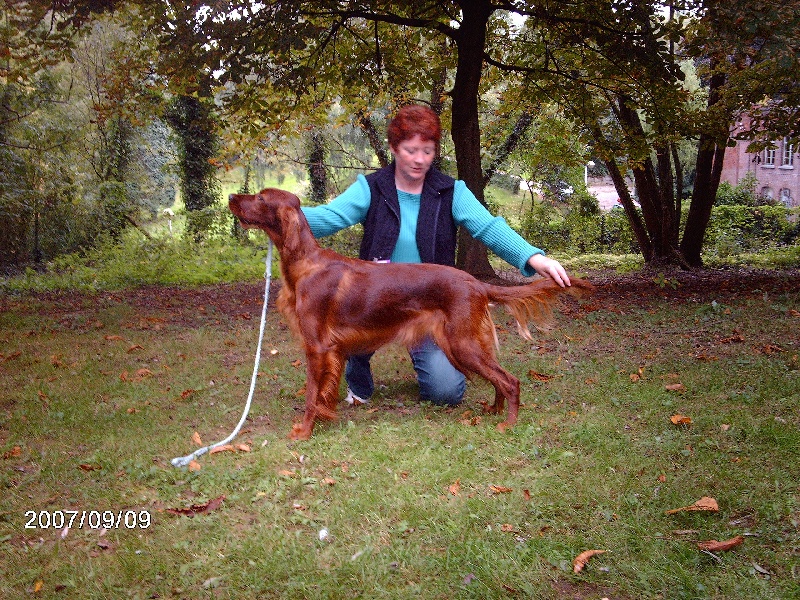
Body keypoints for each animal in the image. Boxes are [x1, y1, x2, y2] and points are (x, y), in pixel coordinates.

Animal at [228, 190, 592, 438]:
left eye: (260, 198)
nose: (231, 197)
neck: (305, 264)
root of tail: (475, 283)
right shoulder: (329, 350)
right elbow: (321, 393)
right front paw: (323, 416)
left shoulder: (317, 347)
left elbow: (309, 394)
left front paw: (304, 430)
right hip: (463, 344)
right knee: (499, 379)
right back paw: (494, 409)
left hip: (461, 343)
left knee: (509, 380)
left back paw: (508, 423)